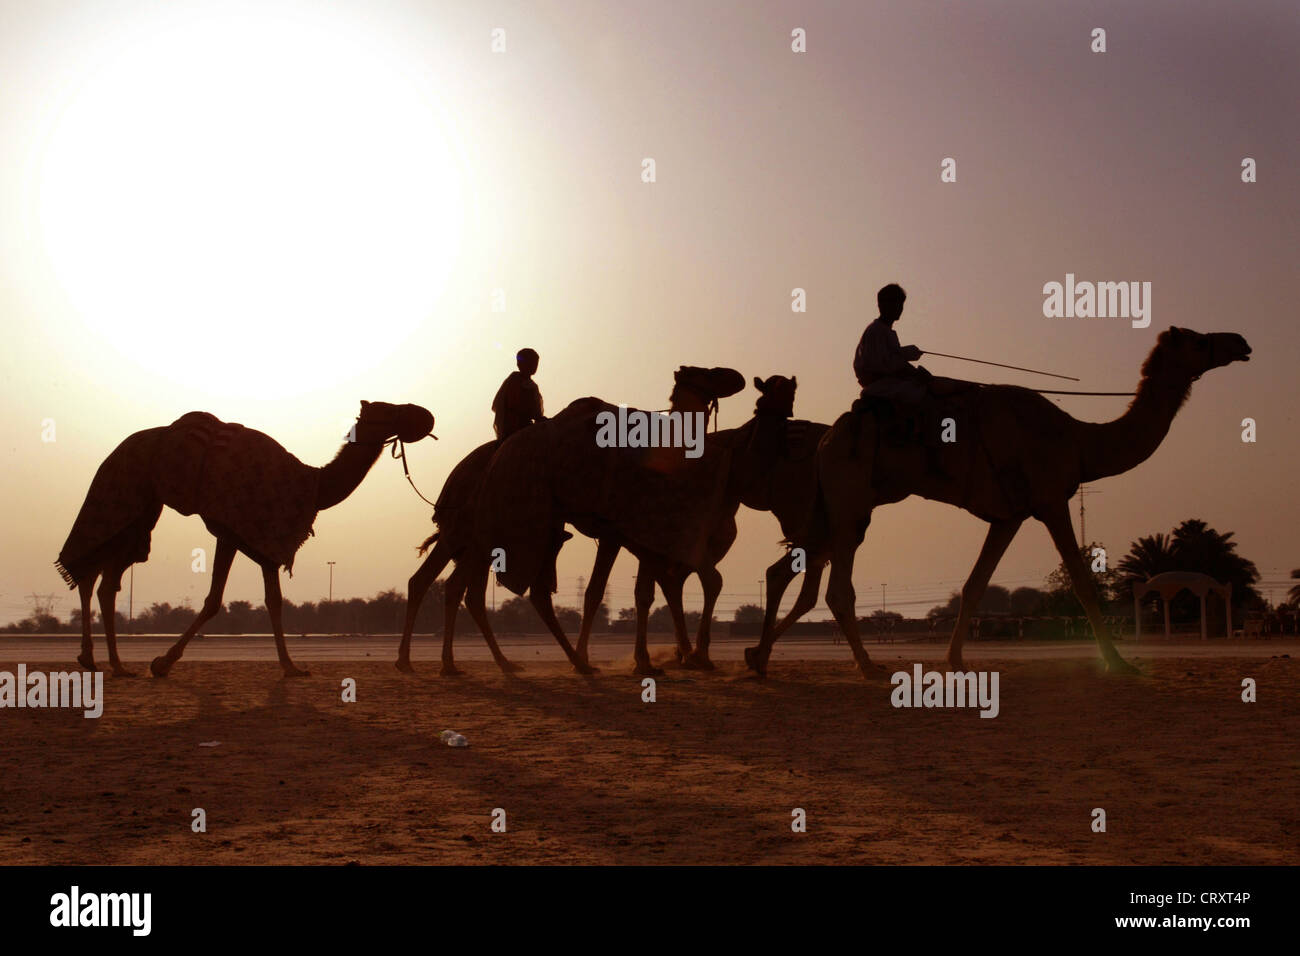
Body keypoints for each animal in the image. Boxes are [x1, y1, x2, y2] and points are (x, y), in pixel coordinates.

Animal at [57, 400, 436, 676]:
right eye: (389, 409)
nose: (425, 415)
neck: (313, 484)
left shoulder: (261, 539)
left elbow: (273, 600)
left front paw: (291, 666)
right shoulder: (238, 530)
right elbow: (216, 600)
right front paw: (162, 663)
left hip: (140, 512)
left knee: (102, 576)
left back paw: (104, 662)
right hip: (127, 496)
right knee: (98, 572)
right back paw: (106, 662)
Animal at [754, 329, 1248, 681]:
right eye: (1200, 340)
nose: (1240, 342)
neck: (1079, 442)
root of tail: (826, 441)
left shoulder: (1009, 515)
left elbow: (975, 585)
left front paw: (955, 660)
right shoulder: (1051, 500)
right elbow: (1083, 584)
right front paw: (1119, 663)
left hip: (838, 504)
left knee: (790, 569)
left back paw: (759, 655)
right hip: (851, 496)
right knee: (836, 586)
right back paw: (867, 667)